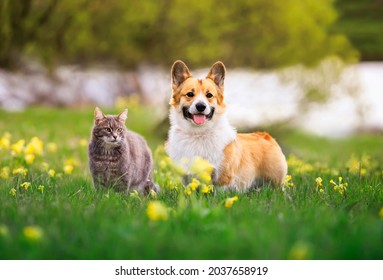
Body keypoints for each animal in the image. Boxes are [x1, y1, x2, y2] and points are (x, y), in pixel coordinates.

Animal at [166, 59, 286, 190]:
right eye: (189, 94)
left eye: (209, 95)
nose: (201, 106)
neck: (198, 133)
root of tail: (265, 135)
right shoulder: (185, 177)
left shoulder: (222, 177)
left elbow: (220, 191)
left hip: (275, 180)